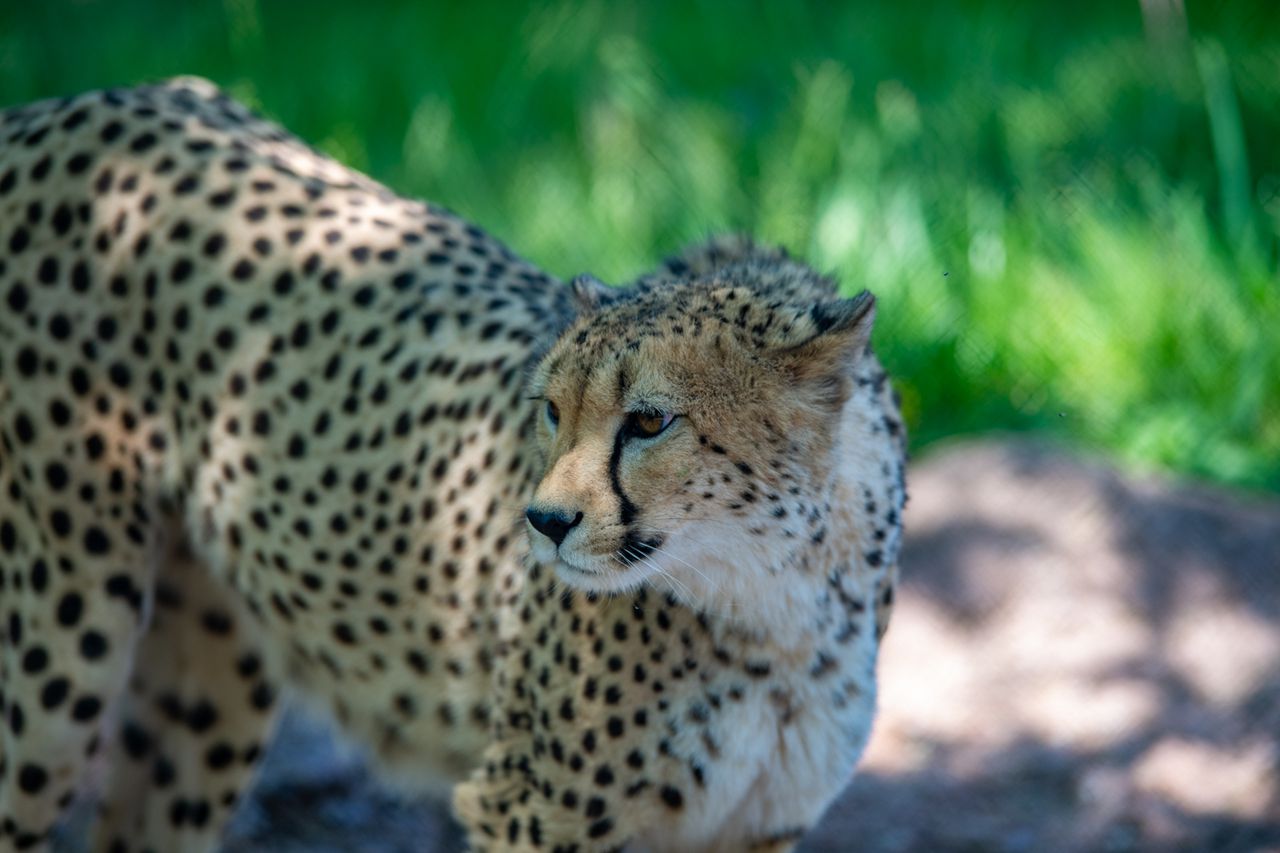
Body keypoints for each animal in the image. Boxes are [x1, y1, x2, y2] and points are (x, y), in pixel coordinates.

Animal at [0, 76, 906, 845]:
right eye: (552, 410)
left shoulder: (755, 826)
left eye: (649, 421)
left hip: (210, 677)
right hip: (58, 649)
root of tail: (79, 104)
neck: (777, 603)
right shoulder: (533, 810)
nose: (544, 522)